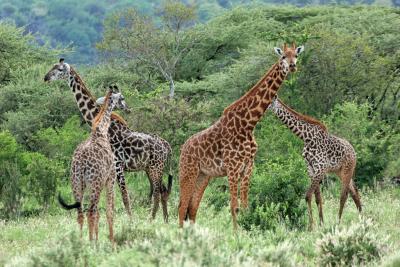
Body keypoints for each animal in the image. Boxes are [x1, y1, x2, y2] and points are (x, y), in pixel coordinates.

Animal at [44, 59, 173, 223]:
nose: (46, 77)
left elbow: (124, 196)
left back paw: (151, 219)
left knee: (157, 192)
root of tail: (167, 146)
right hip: (151, 168)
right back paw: (165, 220)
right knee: (162, 191)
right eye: (52, 67)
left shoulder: (117, 165)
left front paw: (130, 221)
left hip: (156, 167)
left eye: (60, 69)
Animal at [58, 86, 127, 243]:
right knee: (91, 212)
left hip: (77, 183)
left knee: (81, 213)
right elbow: (109, 210)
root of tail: (81, 164)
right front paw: (111, 241)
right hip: (95, 182)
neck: (100, 130)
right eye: (122, 98)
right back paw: (90, 244)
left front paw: (97, 239)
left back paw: (81, 242)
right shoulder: (110, 178)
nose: (126, 108)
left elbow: (99, 213)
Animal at [177, 43, 304, 228]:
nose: (292, 66)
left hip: (203, 175)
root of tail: (183, 148)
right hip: (188, 172)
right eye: (283, 57)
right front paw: (237, 233)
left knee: (192, 208)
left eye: (296, 55)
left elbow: (245, 205)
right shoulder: (232, 167)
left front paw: (248, 229)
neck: (248, 124)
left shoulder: (248, 167)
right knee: (182, 207)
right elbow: (233, 206)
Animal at [268, 97, 362, 229]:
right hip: (340, 172)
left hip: (348, 170)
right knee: (355, 192)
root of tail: (353, 151)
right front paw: (321, 223)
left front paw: (311, 226)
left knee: (344, 195)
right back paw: (362, 219)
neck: (306, 138)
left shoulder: (320, 168)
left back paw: (338, 223)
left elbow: (308, 196)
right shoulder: (311, 169)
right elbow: (317, 198)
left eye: (270, 102)